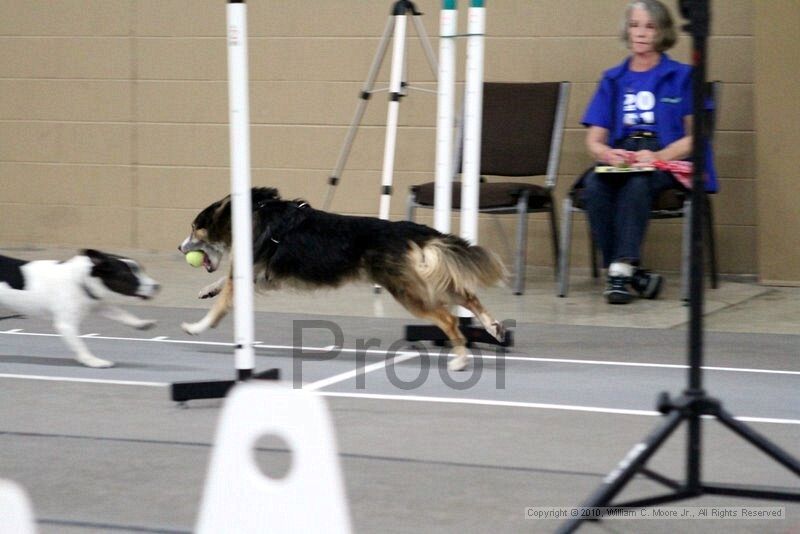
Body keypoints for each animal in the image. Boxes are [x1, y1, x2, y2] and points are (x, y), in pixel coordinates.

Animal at [0, 250, 161, 368]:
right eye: (127, 274)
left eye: (141, 269)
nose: (157, 286)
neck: (80, 279)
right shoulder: (66, 324)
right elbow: (79, 344)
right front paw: (92, 360)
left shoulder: (98, 305)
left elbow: (122, 314)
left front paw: (141, 323)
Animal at [180, 188, 506, 372]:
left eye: (195, 228)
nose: (180, 248)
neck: (247, 215)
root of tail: (410, 229)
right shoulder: (259, 275)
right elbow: (223, 286)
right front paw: (207, 290)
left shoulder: (250, 271)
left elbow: (220, 306)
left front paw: (197, 327)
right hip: (421, 281)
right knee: (467, 295)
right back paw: (493, 327)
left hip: (406, 290)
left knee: (449, 319)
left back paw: (461, 359)